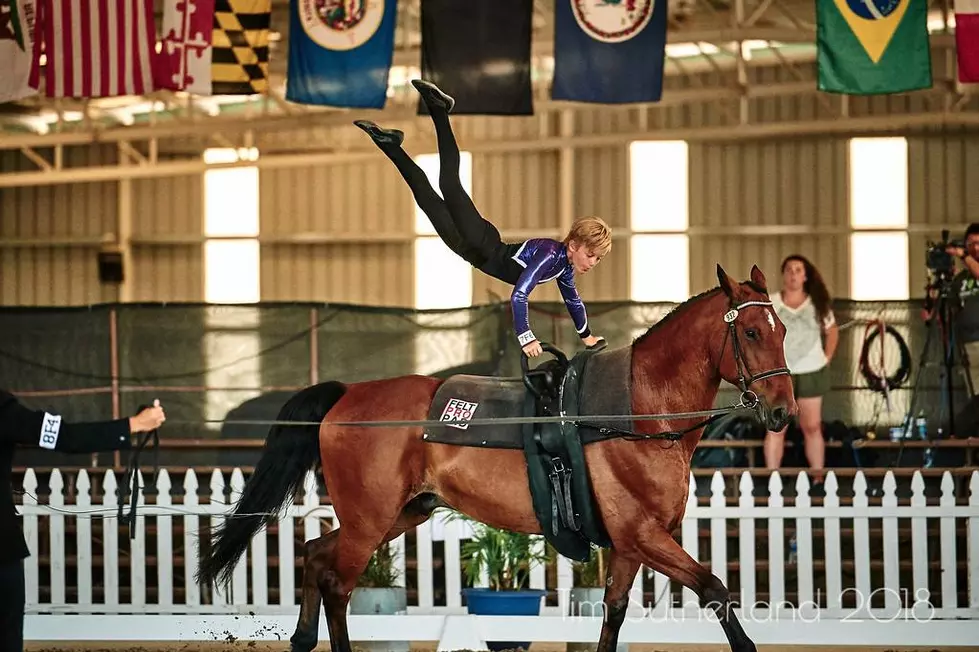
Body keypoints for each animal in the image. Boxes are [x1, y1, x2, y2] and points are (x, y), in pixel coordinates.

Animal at [197, 264, 796, 652]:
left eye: (784, 329)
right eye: (749, 330)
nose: (783, 410)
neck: (637, 409)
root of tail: (347, 395)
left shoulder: (629, 546)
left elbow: (613, 617)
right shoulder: (646, 536)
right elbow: (716, 590)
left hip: (398, 514)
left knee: (316, 556)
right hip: (370, 521)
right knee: (338, 585)